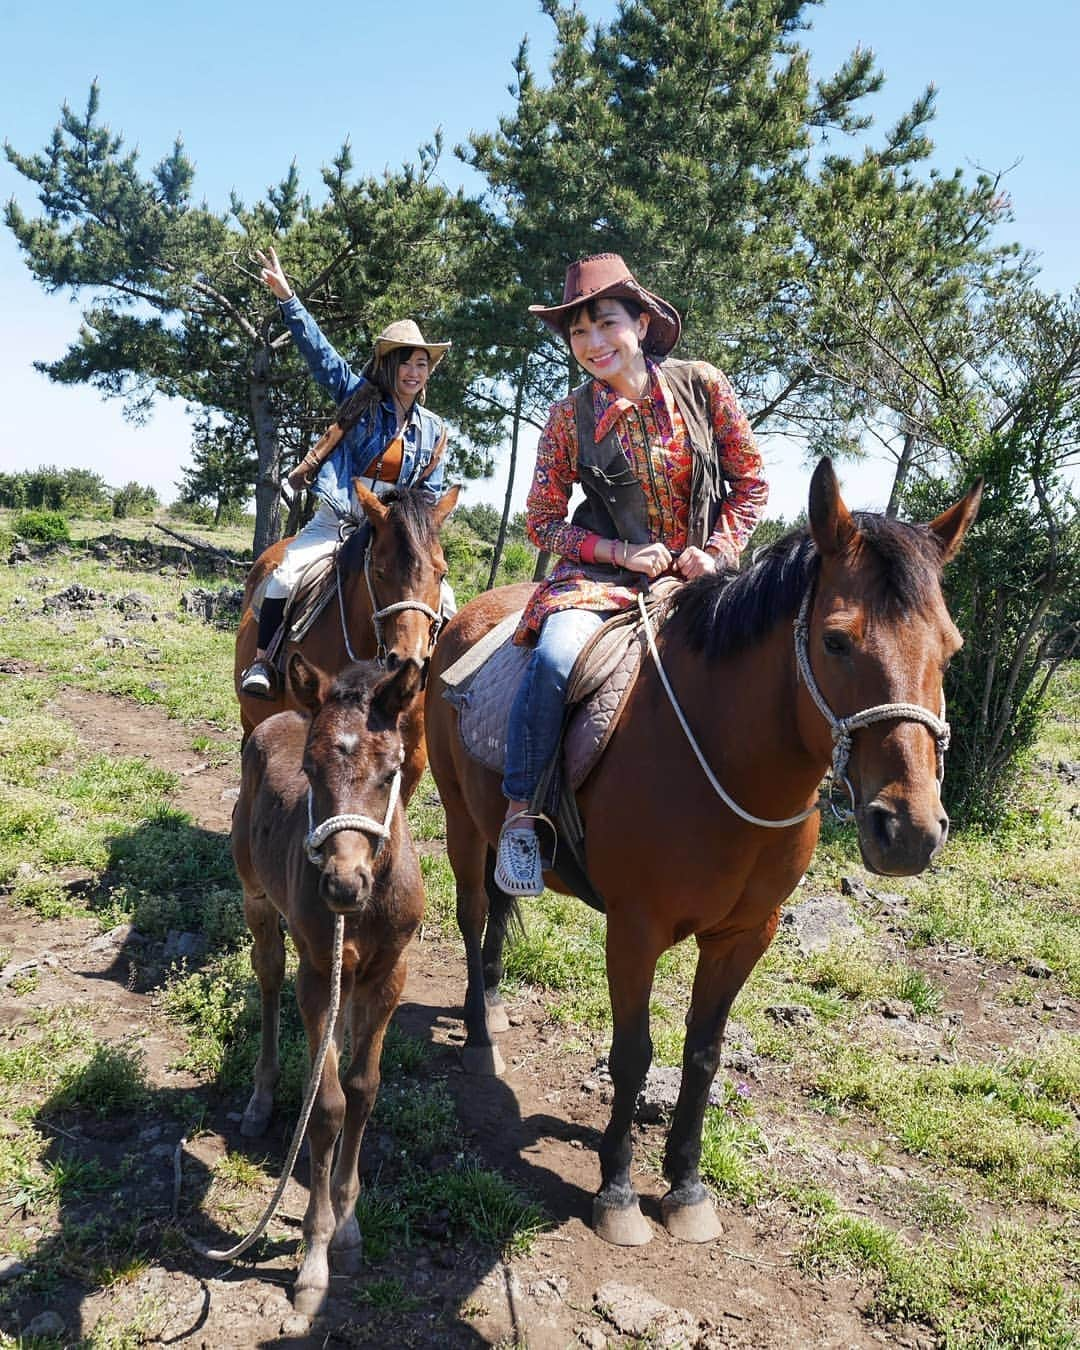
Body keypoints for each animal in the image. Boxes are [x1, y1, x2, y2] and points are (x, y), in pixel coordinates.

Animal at [232, 648, 426, 1312]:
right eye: (311, 771)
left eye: (391, 772)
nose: (344, 884)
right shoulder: (317, 975)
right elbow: (328, 1103)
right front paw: (315, 1256)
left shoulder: (389, 975)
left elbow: (363, 1089)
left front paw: (347, 1228)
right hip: (255, 894)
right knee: (267, 979)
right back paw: (261, 1097)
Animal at [426, 461, 982, 1242]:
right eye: (837, 642)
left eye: (951, 647)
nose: (908, 830)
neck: (723, 759)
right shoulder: (634, 931)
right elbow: (633, 1054)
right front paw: (618, 1191)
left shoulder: (746, 935)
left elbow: (705, 1053)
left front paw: (685, 1185)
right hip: (461, 822)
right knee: (474, 915)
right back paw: (480, 1033)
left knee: (500, 911)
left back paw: (498, 1004)